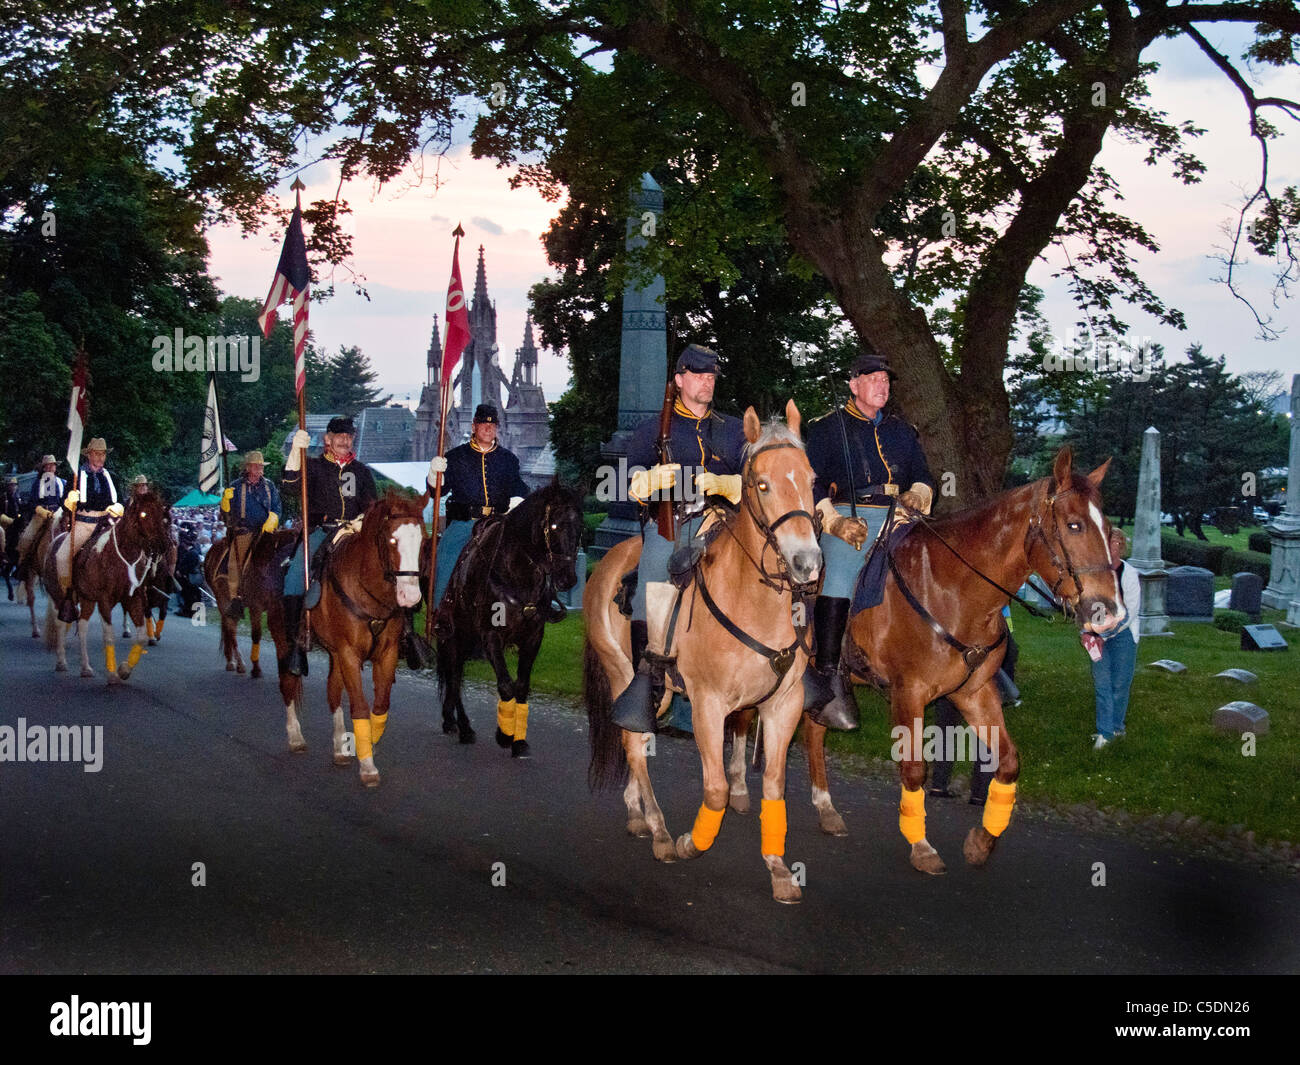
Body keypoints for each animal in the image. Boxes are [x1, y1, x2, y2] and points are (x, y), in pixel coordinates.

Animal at [40, 491, 171, 681]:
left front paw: (124, 669)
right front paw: (112, 674)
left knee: (82, 626)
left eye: (162, 514)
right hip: (59, 596)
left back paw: (86, 667)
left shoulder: (133, 598)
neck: (121, 557)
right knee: (60, 625)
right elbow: (108, 636)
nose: (163, 545)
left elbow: (141, 636)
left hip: (86, 600)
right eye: (143, 514)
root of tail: (54, 542)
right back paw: (61, 662)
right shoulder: (104, 601)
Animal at [271, 496, 428, 785]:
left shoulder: (385, 653)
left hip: (334, 653)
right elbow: (360, 706)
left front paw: (365, 744)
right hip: (284, 640)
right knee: (287, 683)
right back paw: (295, 737)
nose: (411, 598)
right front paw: (367, 766)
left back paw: (339, 748)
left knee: (332, 691)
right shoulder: (349, 653)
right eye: (391, 540)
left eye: (423, 540)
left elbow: (380, 705)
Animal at [434, 483, 582, 759]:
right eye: (554, 525)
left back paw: (451, 720)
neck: (518, 573)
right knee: (455, 677)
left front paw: (518, 740)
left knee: (455, 677)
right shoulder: (491, 635)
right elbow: (505, 685)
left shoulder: (533, 638)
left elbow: (522, 686)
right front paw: (504, 735)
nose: (567, 579)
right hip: (456, 637)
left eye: (580, 527)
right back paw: (464, 727)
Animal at [590, 403, 821, 905]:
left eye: (811, 478)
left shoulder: (784, 705)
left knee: (634, 742)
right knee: (634, 743)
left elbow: (774, 785)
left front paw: (778, 868)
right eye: (761, 484)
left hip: (658, 695)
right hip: (628, 677)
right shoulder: (708, 704)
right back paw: (659, 830)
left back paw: (637, 812)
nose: (807, 563)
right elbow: (715, 790)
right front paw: (689, 843)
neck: (753, 599)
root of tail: (607, 561)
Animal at [847, 447, 1123, 873]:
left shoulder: (975, 694)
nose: (1109, 613)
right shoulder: (908, 694)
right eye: (1074, 525)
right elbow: (914, 770)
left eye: (1109, 528)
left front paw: (982, 840)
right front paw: (921, 845)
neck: (953, 590)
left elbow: (1008, 762)